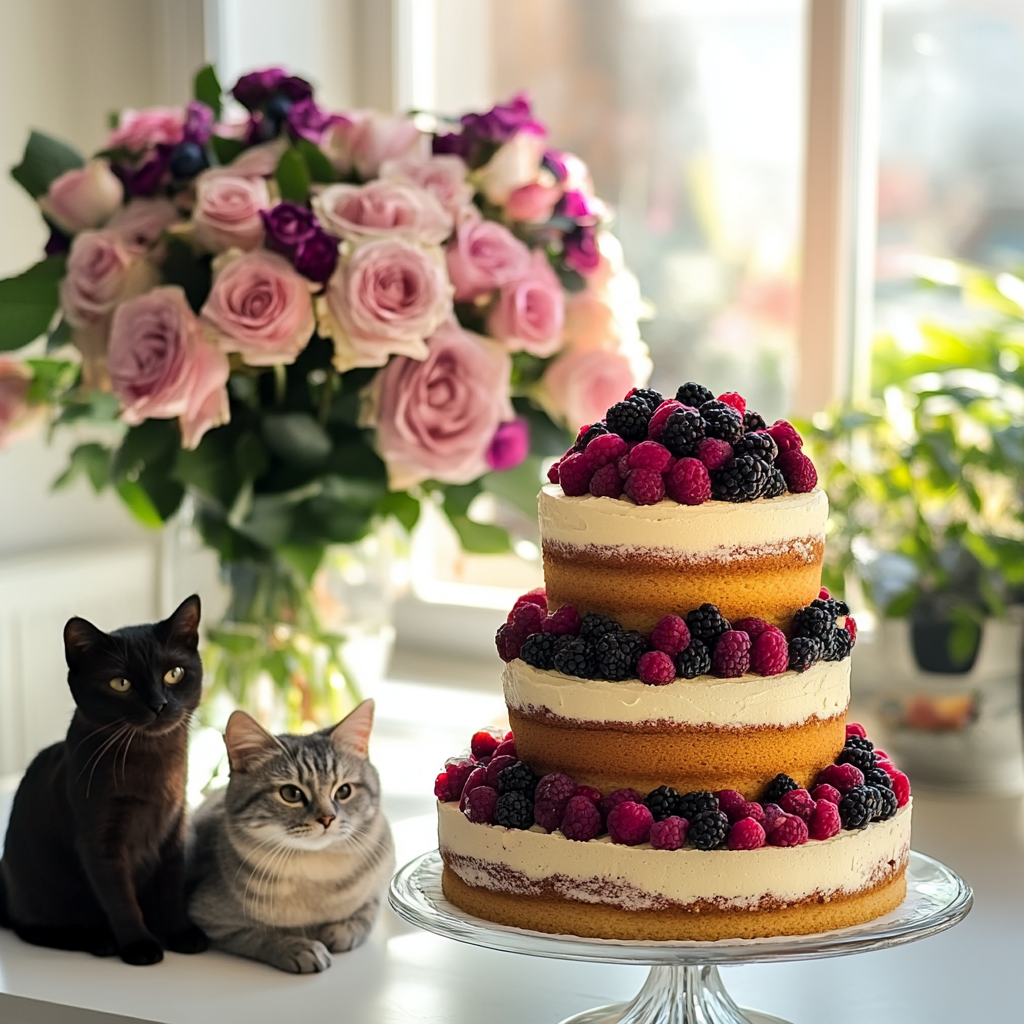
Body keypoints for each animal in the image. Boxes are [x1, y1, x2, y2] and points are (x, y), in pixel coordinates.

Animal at [0, 598, 209, 962]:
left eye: (174, 674)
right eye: (121, 684)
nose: (158, 704)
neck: (152, 762)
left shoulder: (174, 830)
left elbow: (171, 888)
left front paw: (180, 934)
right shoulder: (99, 841)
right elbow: (120, 899)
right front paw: (140, 946)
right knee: (31, 928)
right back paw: (98, 940)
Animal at [184, 696, 391, 974]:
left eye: (344, 791)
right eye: (291, 794)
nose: (327, 818)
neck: (317, 876)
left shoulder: (380, 883)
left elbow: (367, 911)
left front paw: (343, 929)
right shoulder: (211, 920)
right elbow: (263, 935)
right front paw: (297, 946)